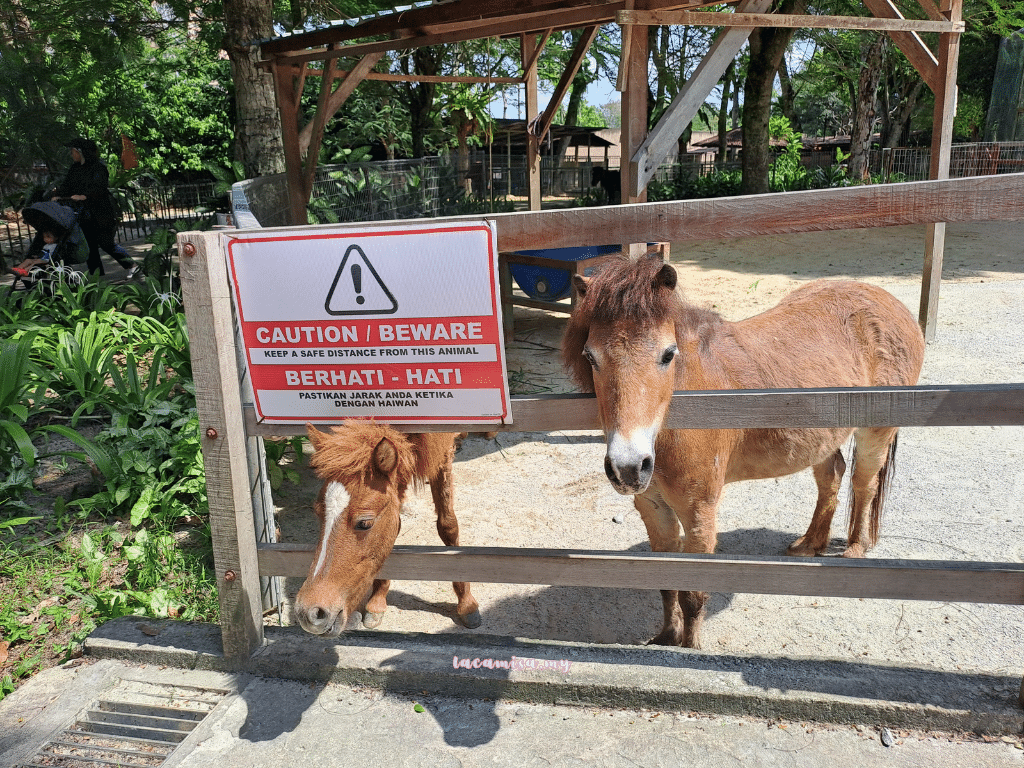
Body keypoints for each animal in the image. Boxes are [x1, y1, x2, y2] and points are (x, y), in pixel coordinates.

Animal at [294, 421, 481, 638]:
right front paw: (377, 600)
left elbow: (448, 526)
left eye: (365, 523)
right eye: (317, 513)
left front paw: (466, 602)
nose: (310, 613)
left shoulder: (441, 454)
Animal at [561, 257, 929, 651]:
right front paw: (665, 638)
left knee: (864, 483)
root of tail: (887, 300)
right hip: (821, 440)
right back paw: (808, 545)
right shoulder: (653, 507)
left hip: (876, 431)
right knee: (831, 476)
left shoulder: (698, 512)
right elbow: (666, 584)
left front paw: (690, 649)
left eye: (667, 354)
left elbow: (692, 595)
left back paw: (855, 548)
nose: (629, 468)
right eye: (590, 357)